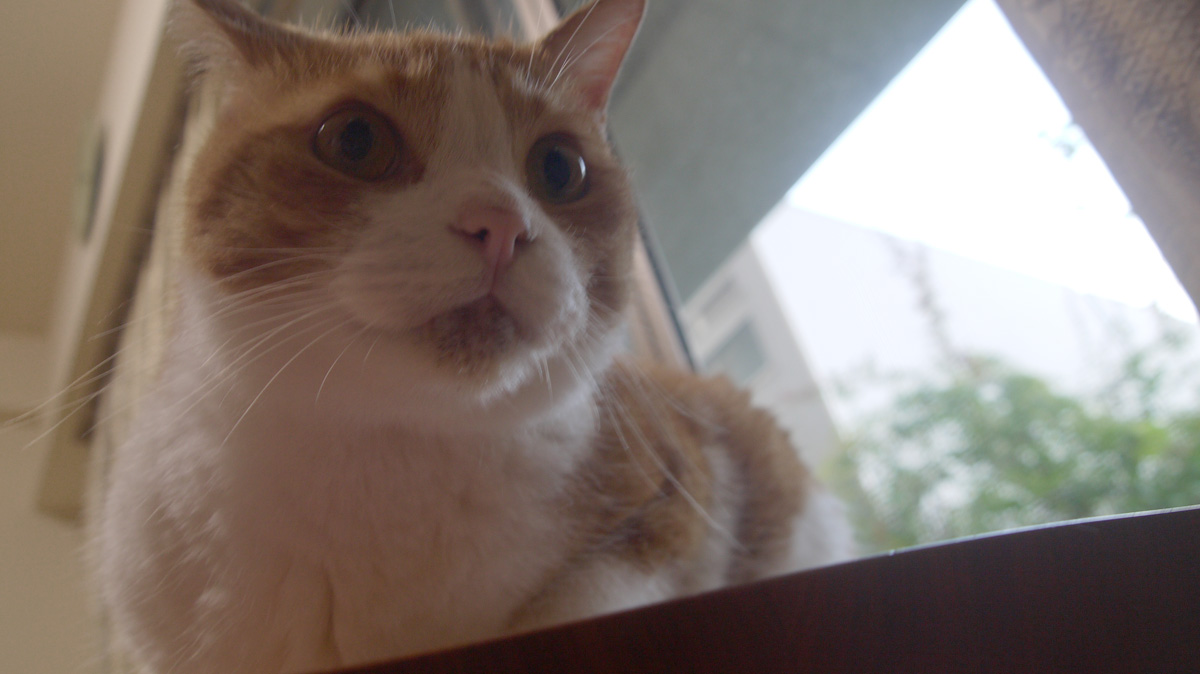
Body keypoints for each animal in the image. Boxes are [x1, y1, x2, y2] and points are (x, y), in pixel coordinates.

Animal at [92, 0, 853, 672]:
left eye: (560, 168)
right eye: (354, 139)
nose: (500, 225)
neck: (390, 457)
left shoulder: (679, 496)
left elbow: (589, 595)